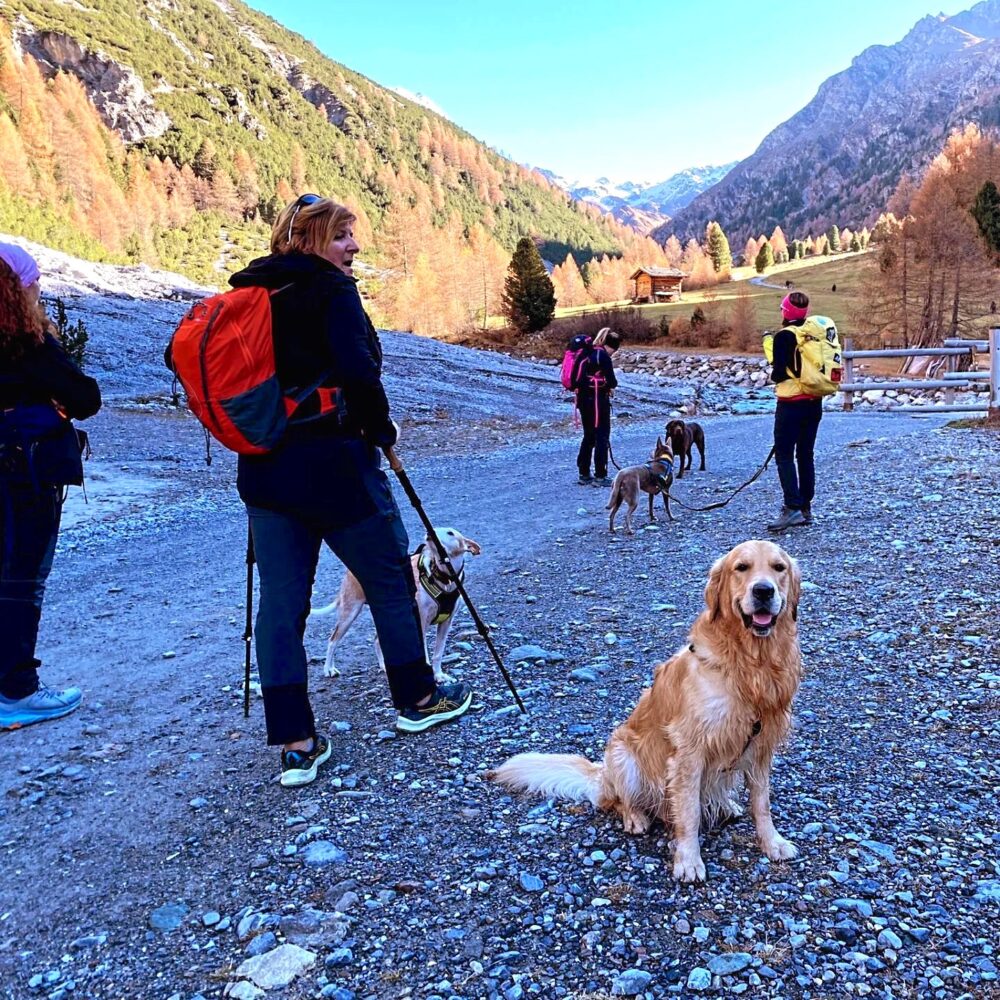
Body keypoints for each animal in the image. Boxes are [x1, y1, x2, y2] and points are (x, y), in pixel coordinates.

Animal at [312, 528, 484, 684]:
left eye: (450, 533)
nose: (429, 533)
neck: (443, 578)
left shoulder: (446, 623)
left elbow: (438, 653)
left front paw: (438, 675)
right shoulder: (420, 622)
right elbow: (425, 653)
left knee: (376, 640)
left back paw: (384, 666)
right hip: (350, 613)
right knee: (333, 640)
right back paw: (328, 669)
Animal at [492, 540, 804, 884]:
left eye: (779, 568)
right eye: (742, 568)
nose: (763, 591)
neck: (750, 664)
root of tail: (602, 778)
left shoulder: (762, 747)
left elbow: (762, 803)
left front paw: (772, 842)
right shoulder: (689, 751)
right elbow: (689, 813)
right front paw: (688, 860)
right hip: (623, 755)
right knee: (618, 801)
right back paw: (636, 817)